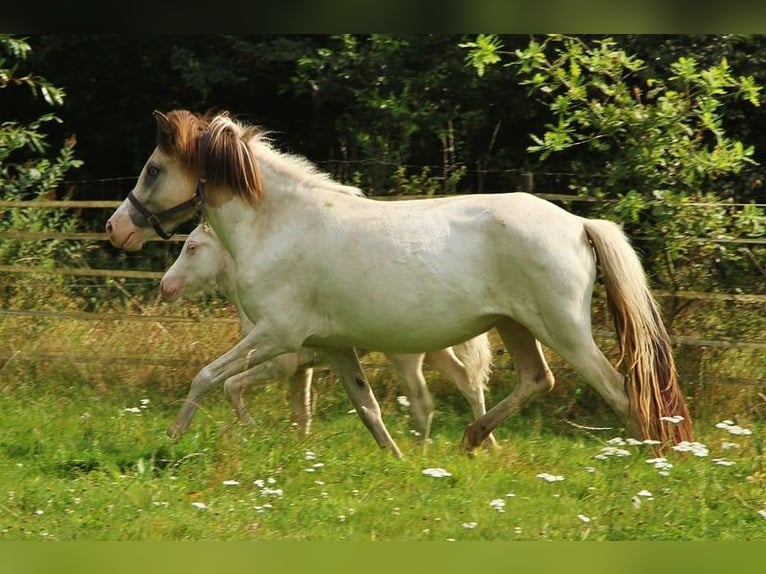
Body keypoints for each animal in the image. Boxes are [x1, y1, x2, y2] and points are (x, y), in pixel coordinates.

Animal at [160, 222, 494, 441]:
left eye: (192, 248)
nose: (165, 286)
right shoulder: (301, 369)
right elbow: (301, 414)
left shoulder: (278, 363)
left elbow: (230, 386)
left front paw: (254, 430)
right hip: (437, 350)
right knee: (469, 383)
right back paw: (487, 444)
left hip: (406, 357)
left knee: (425, 402)